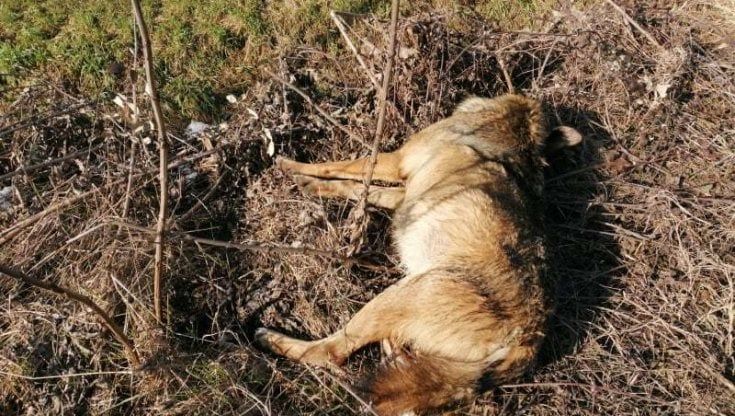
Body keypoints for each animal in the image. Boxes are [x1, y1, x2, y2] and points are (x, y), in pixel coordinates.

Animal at [256, 94, 582, 415]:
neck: (517, 133)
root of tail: (528, 340)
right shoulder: (404, 194)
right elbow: (359, 188)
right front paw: (313, 184)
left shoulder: (397, 161)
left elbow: (345, 165)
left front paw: (291, 166)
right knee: (396, 356)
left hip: (397, 296)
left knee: (330, 352)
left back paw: (269, 339)